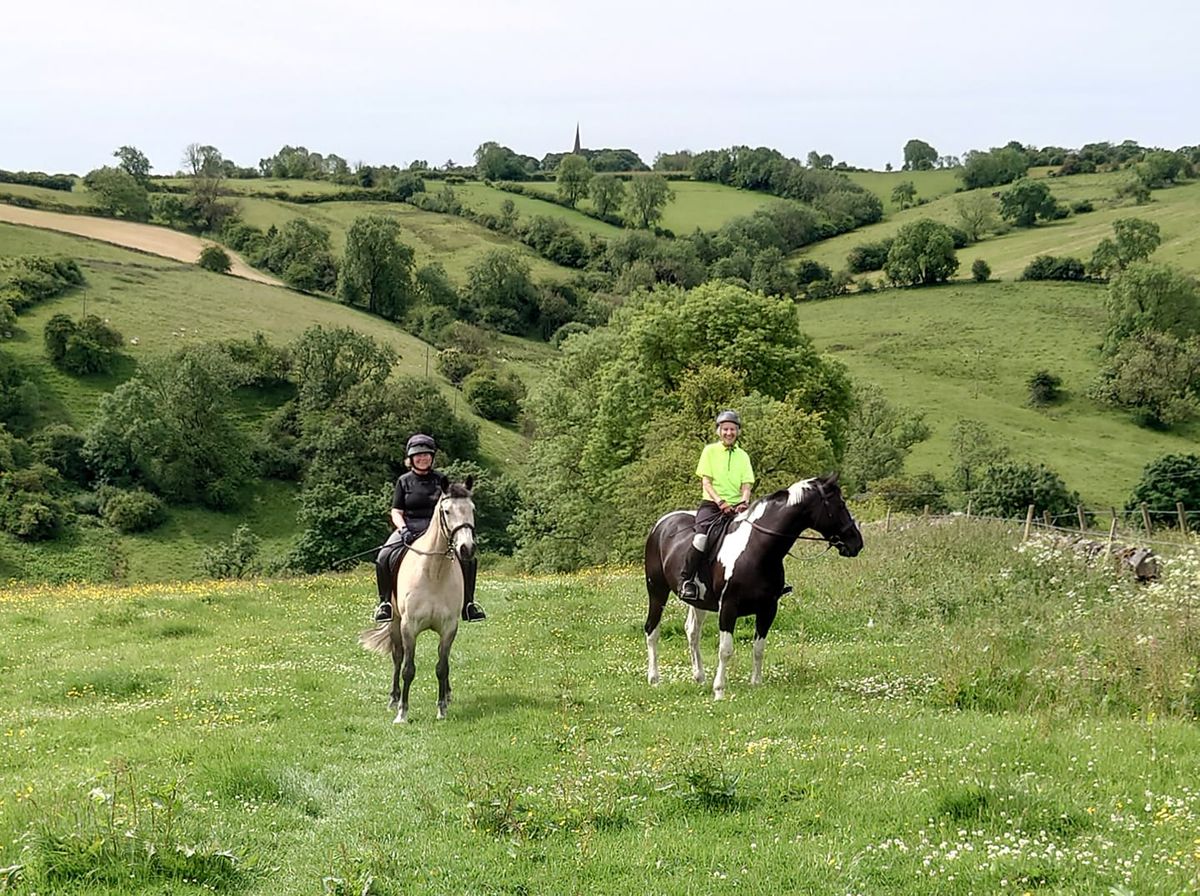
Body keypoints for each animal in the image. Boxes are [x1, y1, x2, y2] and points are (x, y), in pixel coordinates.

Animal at [648, 477, 864, 700]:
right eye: (840, 505)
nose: (856, 543)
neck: (757, 549)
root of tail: (662, 524)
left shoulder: (768, 609)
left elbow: (759, 648)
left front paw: (756, 684)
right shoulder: (728, 608)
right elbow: (725, 650)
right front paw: (719, 691)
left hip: (699, 602)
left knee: (692, 632)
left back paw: (699, 677)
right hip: (657, 591)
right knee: (652, 630)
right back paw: (654, 679)